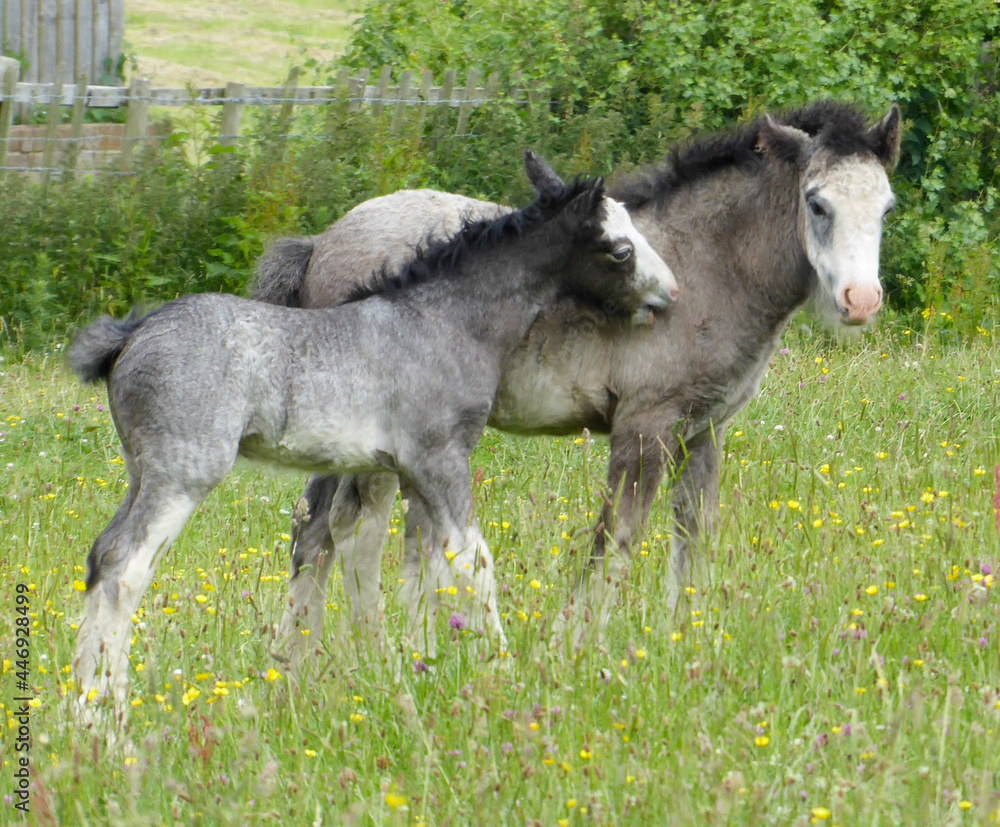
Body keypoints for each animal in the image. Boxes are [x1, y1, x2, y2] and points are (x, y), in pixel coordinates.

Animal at [68, 150, 679, 724]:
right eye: (621, 249)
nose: (669, 296)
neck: (445, 321)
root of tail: (131, 335)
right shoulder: (440, 458)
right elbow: (472, 563)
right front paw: (508, 678)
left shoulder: (407, 472)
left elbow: (425, 565)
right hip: (183, 473)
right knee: (125, 568)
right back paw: (106, 718)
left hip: (141, 471)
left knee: (102, 555)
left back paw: (80, 707)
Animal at [256, 100, 901, 657]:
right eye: (816, 203)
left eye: (886, 207)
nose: (861, 300)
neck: (708, 268)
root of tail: (321, 243)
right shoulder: (645, 425)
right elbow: (615, 543)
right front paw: (573, 653)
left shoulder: (704, 431)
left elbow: (693, 538)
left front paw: (685, 647)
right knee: (347, 529)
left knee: (328, 531)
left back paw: (308, 659)